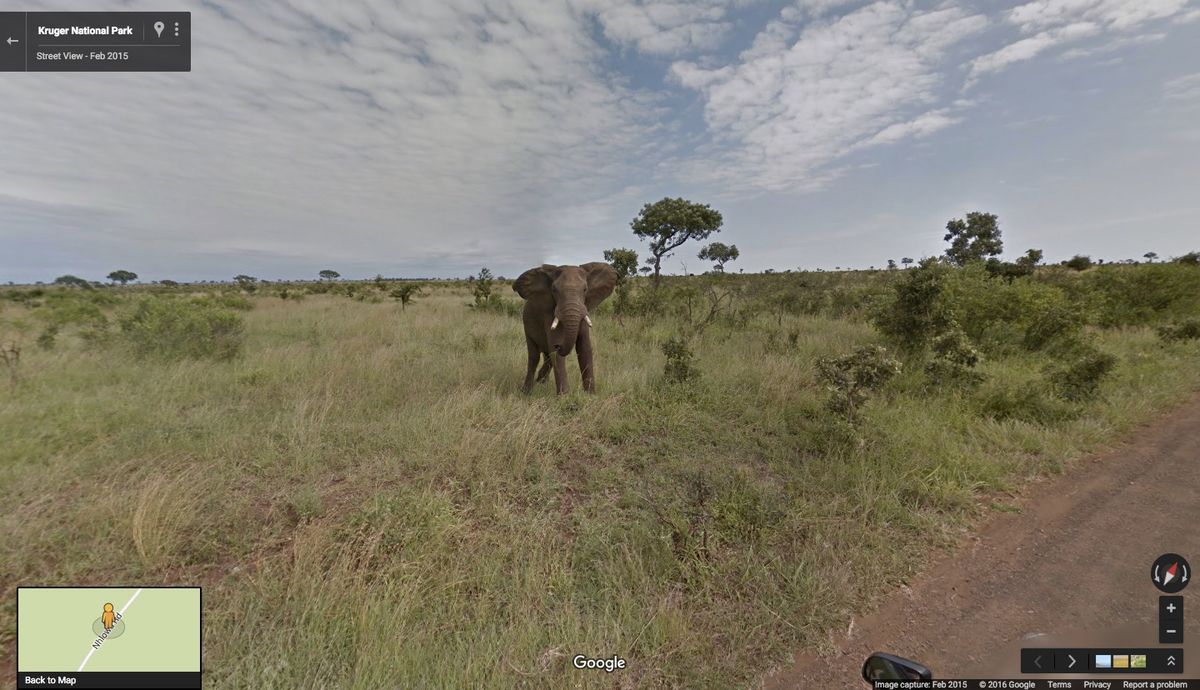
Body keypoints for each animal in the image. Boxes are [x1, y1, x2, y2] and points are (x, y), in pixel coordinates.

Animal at [513, 262, 619, 393]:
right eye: (554, 290)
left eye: (585, 289)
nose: (559, 346)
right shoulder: (549, 315)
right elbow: (556, 354)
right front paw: (565, 395)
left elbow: (585, 348)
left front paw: (590, 394)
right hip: (527, 326)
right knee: (534, 356)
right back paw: (527, 391)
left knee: (547, 356)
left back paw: (541, 381)